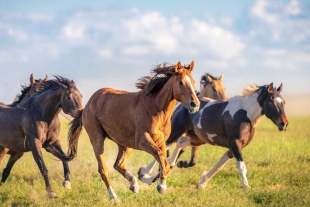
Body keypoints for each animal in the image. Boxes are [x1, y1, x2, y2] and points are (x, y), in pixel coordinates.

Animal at [64, 60, 200, 201]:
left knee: (118, 164)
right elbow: (162, 160)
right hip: (97, 139)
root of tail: (87, 105)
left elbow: (165, 162)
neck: (156, 109)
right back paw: (114, 197)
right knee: (103, 169)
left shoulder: (161, 141)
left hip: (125, 144)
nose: (195, 104)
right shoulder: (143, 141)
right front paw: (160, 185)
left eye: (193, 81)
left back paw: (134, 185)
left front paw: (148, 178)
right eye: (181, 82)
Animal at [139, 82, 288, 189]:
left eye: (284, 102)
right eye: (272, 100)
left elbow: (219, 165)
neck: (245, 115)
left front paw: (202, 182)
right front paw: (246, 186)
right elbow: (241, 166)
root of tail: (181, 105)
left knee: (179, 144)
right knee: (163, 147)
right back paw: (144, 174)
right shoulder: (235, 144)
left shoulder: (233, 148)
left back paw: (167, 166)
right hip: (177, 131)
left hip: (197, 138)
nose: (284, 123)